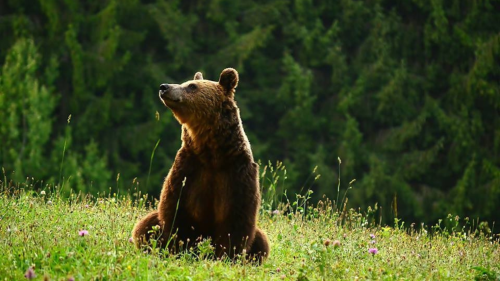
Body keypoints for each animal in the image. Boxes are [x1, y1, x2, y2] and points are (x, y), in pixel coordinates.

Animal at [131, 66, 268, 262]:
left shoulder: (236, 172)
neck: (211, 152)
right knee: (145, 225)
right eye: (186, 82)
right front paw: (181, 250)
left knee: (261, 241)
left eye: (192, 86)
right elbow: (176, 210)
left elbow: (237, 219)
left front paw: (227, 256)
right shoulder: (189, 168)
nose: (164, 87)